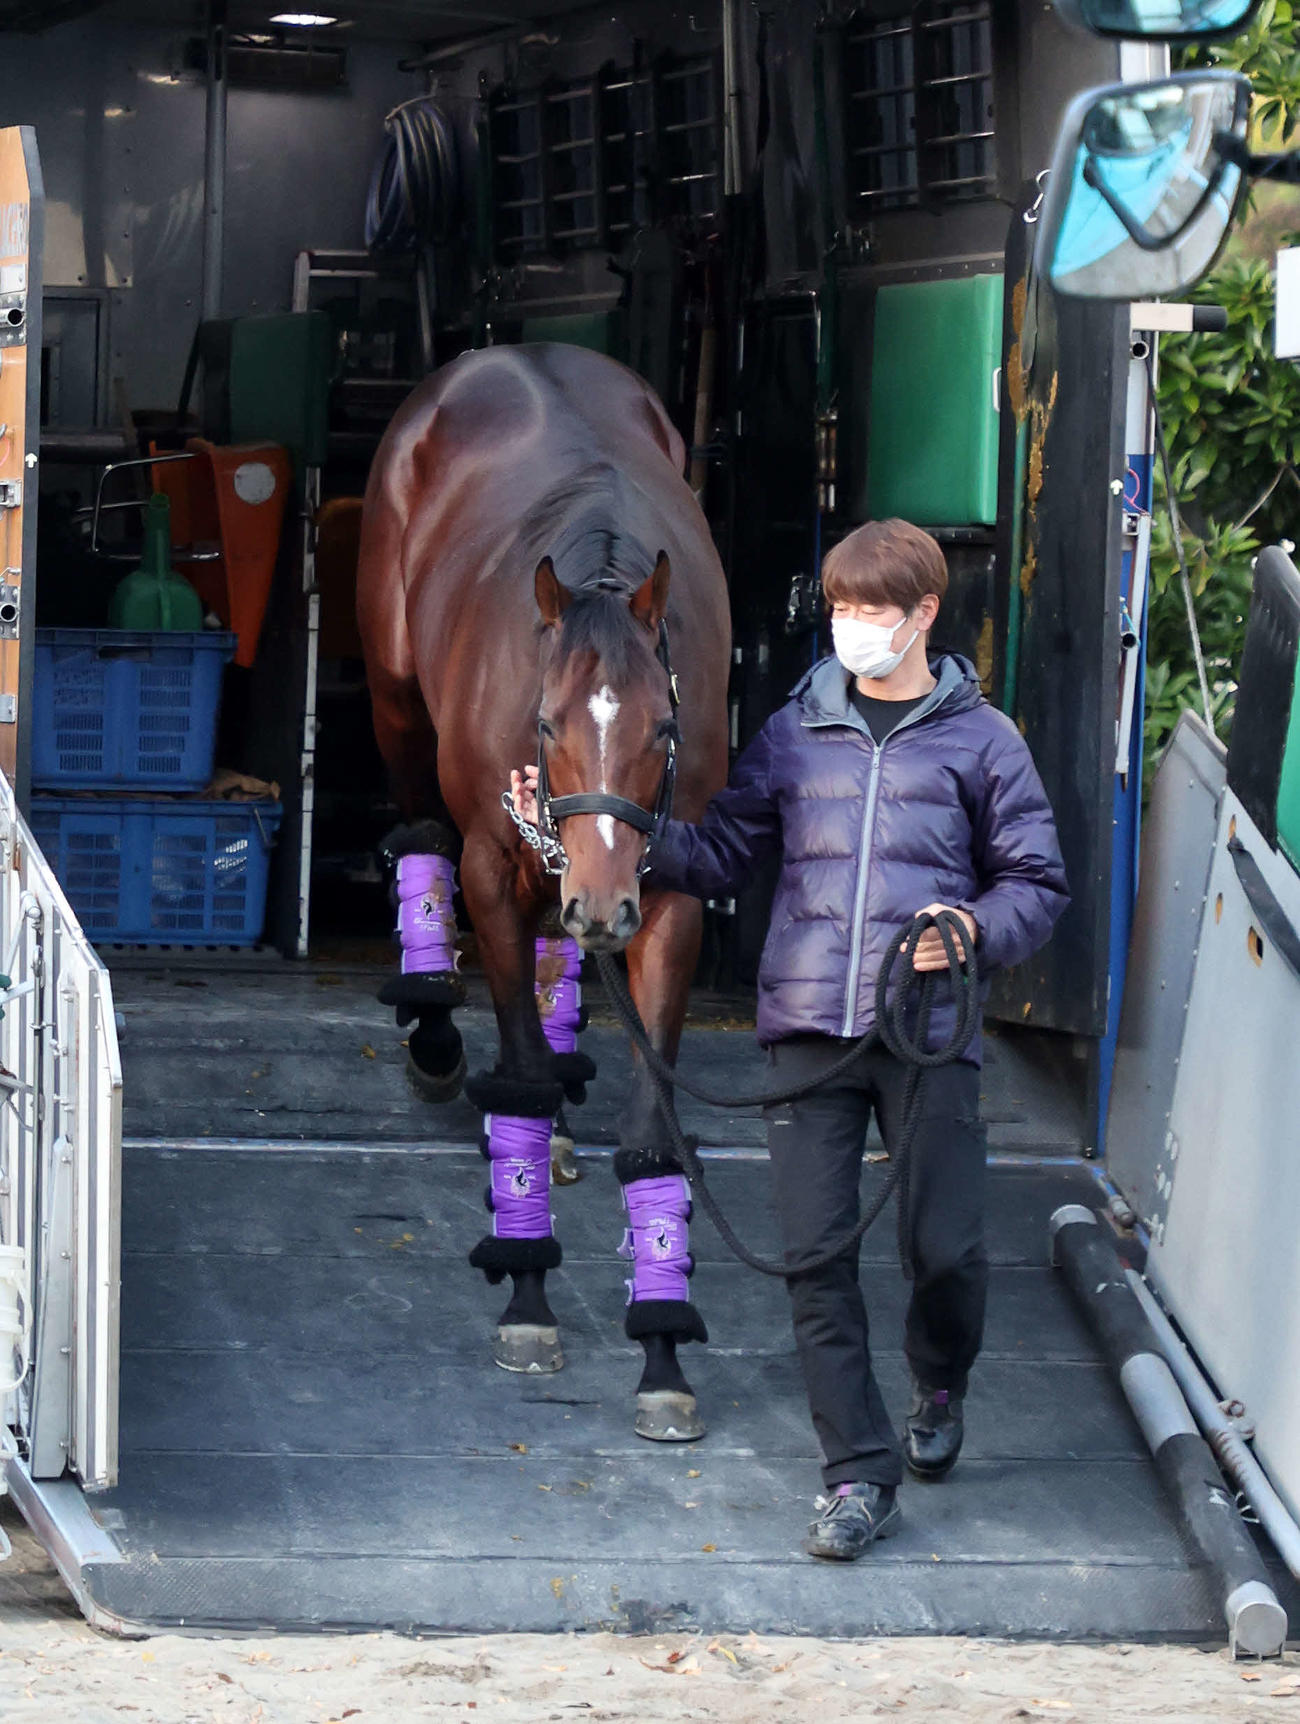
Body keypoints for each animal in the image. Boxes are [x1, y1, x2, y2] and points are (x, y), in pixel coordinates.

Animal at [357, 343, 731, 1440]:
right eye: (550, 720)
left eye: (663, 726)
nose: (604, 901)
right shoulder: (495, 863)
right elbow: (516, 1063)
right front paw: (527, 1298)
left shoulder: (667, 897)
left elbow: (653, 1129)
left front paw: (662, 1353)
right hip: (398, 709)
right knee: (422, 839)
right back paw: (440, 1038)